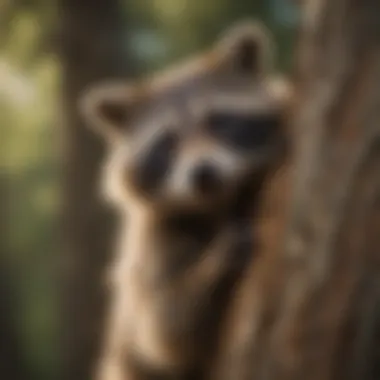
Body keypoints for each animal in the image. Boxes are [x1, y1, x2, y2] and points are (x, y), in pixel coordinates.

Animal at [79, 20, 288, 380]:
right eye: (169, 142)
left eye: (219, 122)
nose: (204, 174)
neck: (218, 205)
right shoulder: (152, 241)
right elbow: (166, 333)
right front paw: (218, 260)